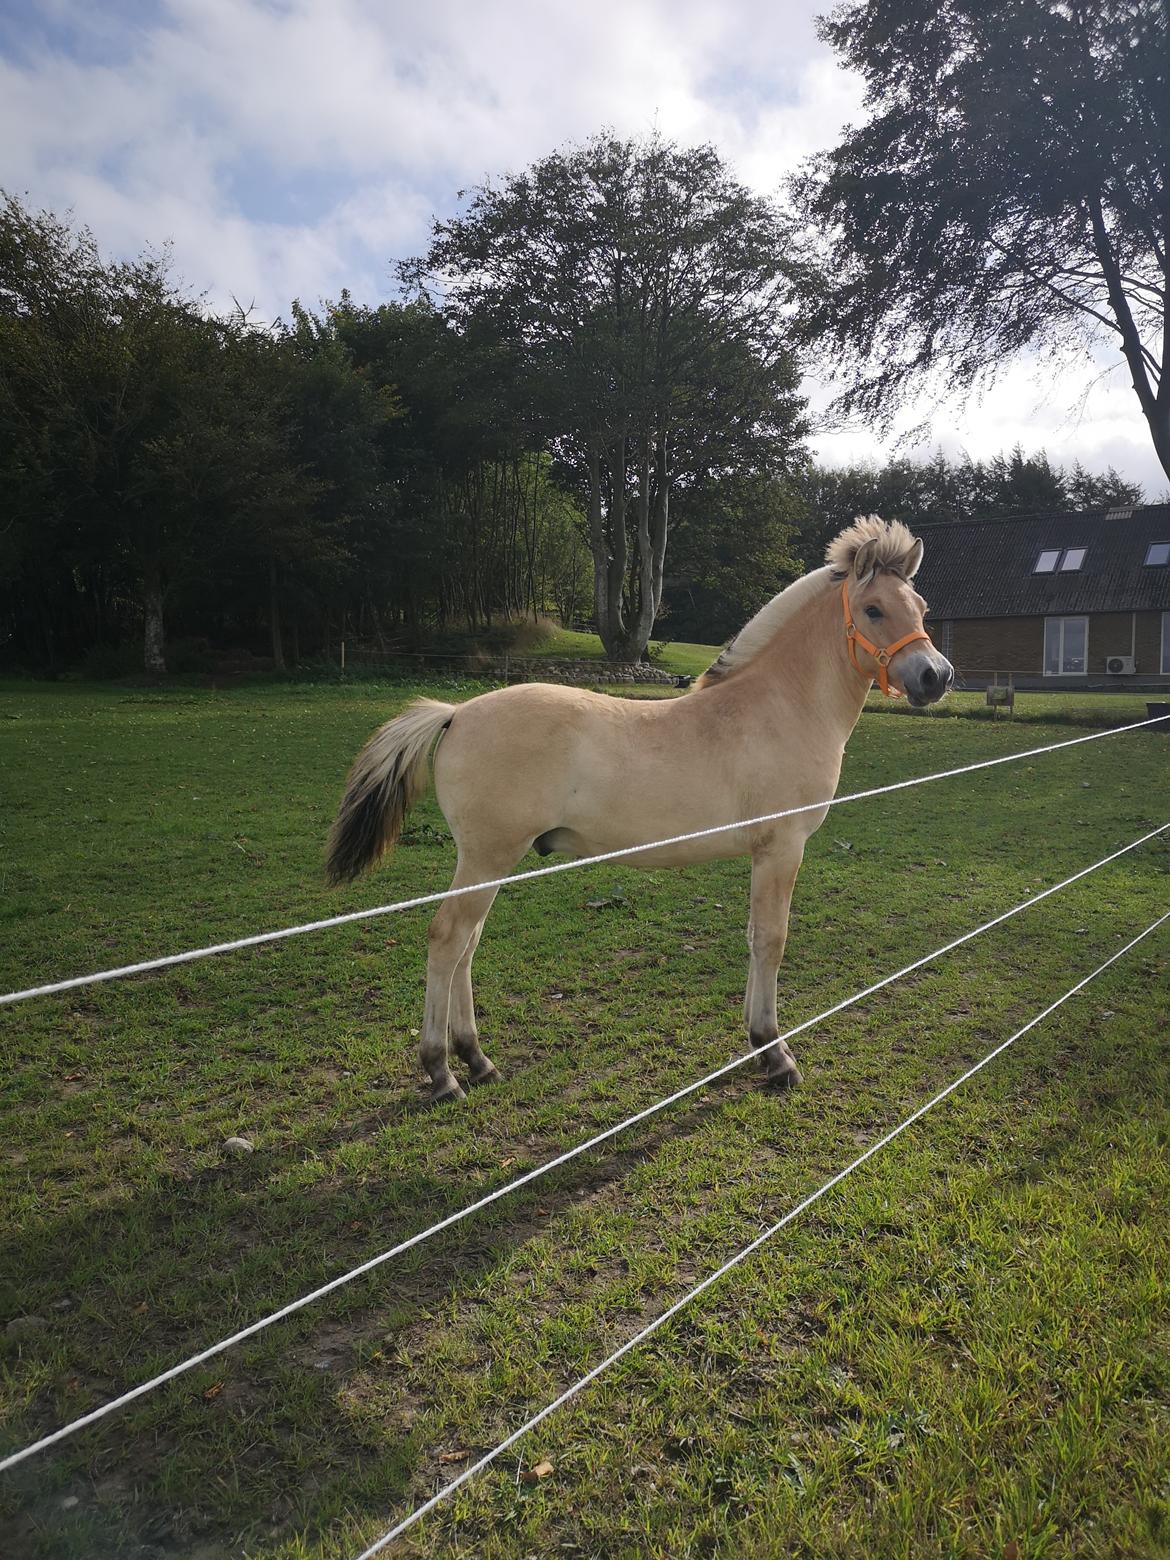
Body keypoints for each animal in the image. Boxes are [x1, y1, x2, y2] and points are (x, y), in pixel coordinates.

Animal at [327, 517, 954, 1104]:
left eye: (921, 607)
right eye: (873, 609)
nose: (937, 675)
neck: (778, 706)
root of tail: (455, 713)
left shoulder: (765, 855)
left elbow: (755, 936)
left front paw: (757, 1044)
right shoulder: (782, 849)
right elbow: (771, 941)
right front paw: (775, 1056)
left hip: (487, 862)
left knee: (467, 944)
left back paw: (477, 1060)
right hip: (487, 857)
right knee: (448, 939)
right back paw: (442, 1073)